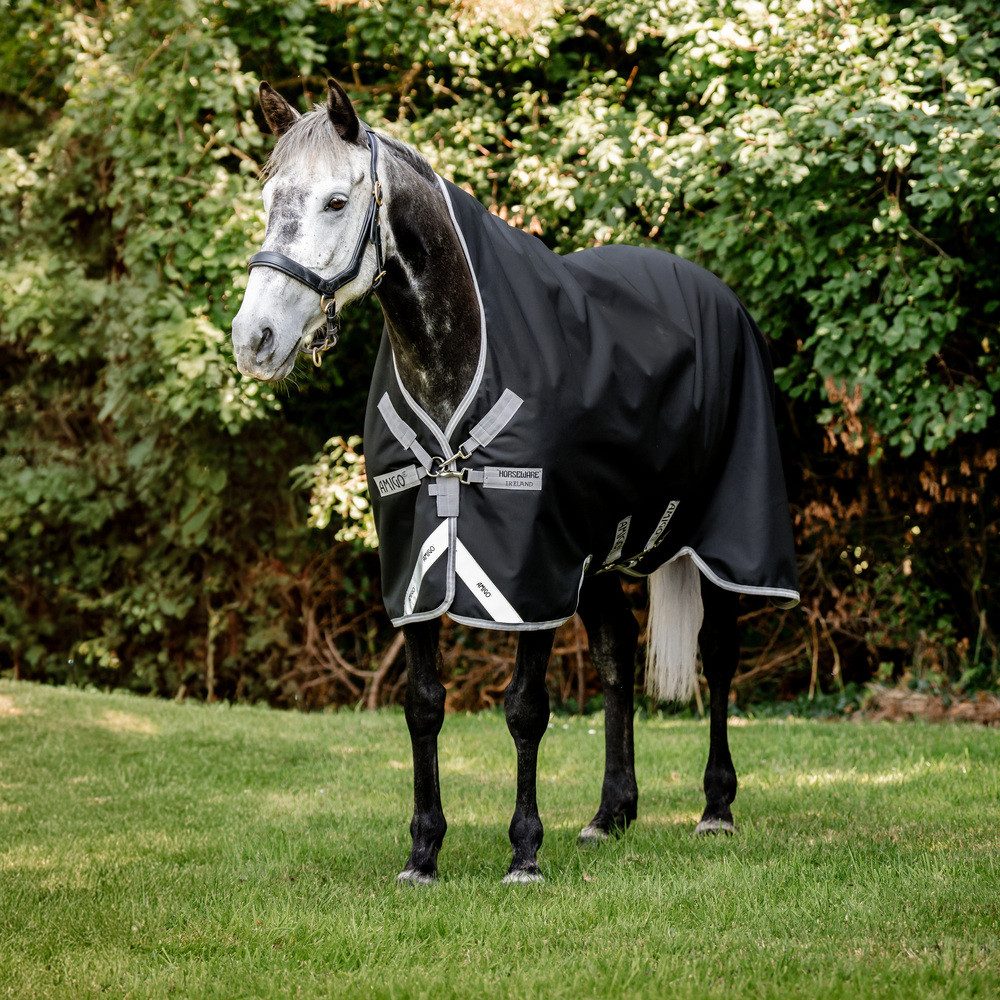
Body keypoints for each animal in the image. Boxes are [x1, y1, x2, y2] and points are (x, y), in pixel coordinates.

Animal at [231, 79, 799, 884]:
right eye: (269, 197)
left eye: (337, 202)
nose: (255, 341)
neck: (460, 355)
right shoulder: (420, 567)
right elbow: (424, 705)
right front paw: (423, 852)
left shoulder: (527, 569)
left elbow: (526, 707)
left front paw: (524, 851)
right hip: (594, 553)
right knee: (618, 654)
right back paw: (610, 813)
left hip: (720, 539)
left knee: (719, 656)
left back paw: (716, 807)